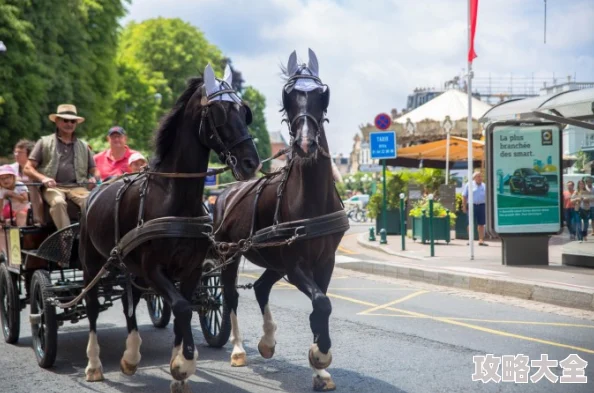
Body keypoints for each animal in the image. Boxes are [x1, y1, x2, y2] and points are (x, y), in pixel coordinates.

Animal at [79, 62, 260, 390]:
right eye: (219, 112)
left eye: (244, 111)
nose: (251, 162)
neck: (175, 198)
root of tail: (94, 191)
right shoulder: (154, 268)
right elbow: (183, 308)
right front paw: (185, 361)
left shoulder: (191, 269)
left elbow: (183, 309)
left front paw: (179, 367)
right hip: (92, 263)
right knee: (91, 306)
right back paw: (94, 365)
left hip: (127, 265)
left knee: (129, 300)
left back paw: (130, 357)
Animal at [212, 50, 342, 390]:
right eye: (288, 96)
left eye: (322, 95)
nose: (306, 144)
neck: (311, 201)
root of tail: (225, 192)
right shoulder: (296, 264)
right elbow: (321, 303)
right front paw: (320, 355)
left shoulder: (325, 261)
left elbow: (321, 305)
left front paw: (320, 366)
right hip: (229, 254)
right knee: (231, 295)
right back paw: (238, 349)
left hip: (274, 259)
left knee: (260, 287)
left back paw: (267, 342)